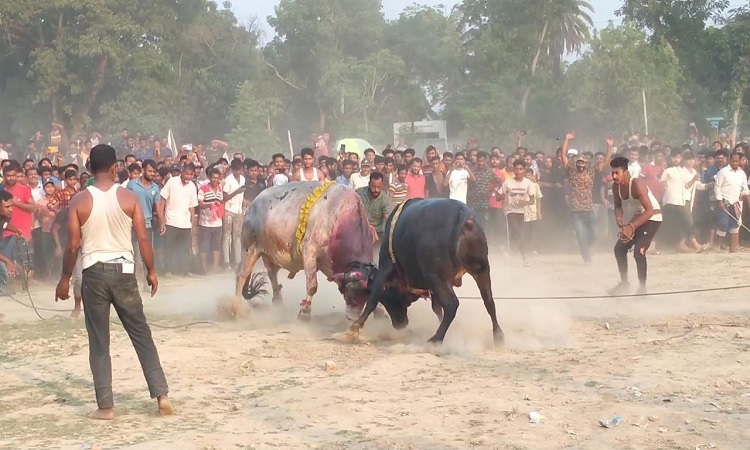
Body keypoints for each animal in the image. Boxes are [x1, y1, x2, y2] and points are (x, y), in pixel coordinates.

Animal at [352, 198, 506, 344]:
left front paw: (355, 327)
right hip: (481, 270)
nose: (400, 324)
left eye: (386, 298)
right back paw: (498, 335)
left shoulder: (386, 266)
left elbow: (373, 297)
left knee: (451, 304)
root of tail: (464, 217)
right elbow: (437, 308)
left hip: (438, 277)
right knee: (489, 301)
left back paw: (436, 338)